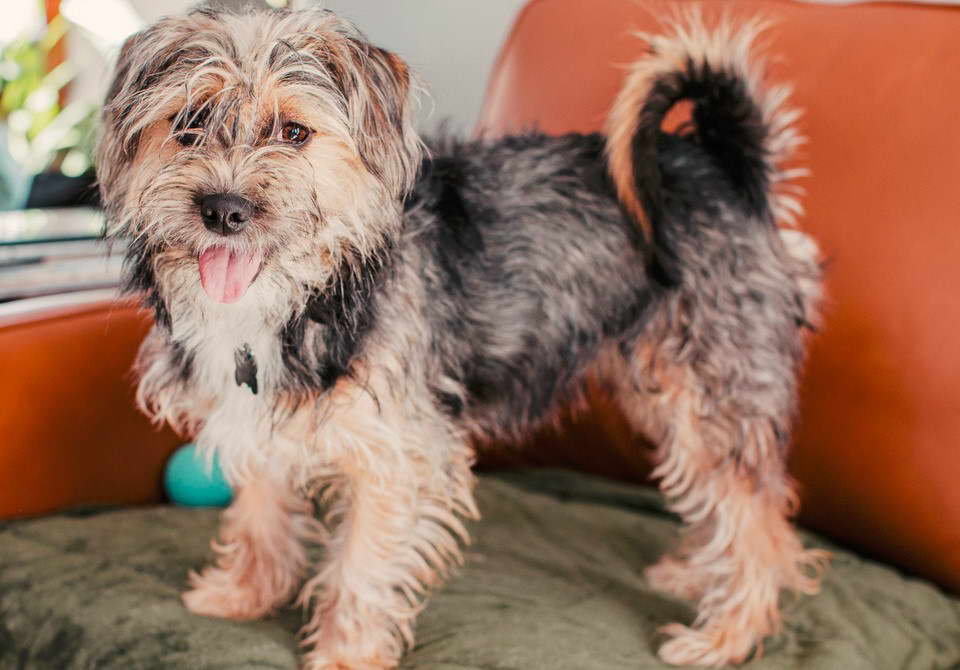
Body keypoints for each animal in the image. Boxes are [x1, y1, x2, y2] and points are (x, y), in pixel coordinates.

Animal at [97, 5, 828, 670]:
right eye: (188, 124)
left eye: (294, 131)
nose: (224, 210)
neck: (311, 292)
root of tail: (725, 168)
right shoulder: (258, 415)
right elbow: (258, 515)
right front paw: (244, 595)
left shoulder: (398, 453)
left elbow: (360, 568)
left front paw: (344, 656)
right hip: (667, 390)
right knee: (730, 500)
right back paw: (697, 574)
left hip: (714, 386)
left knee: (761, 524)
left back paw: (726, 634)